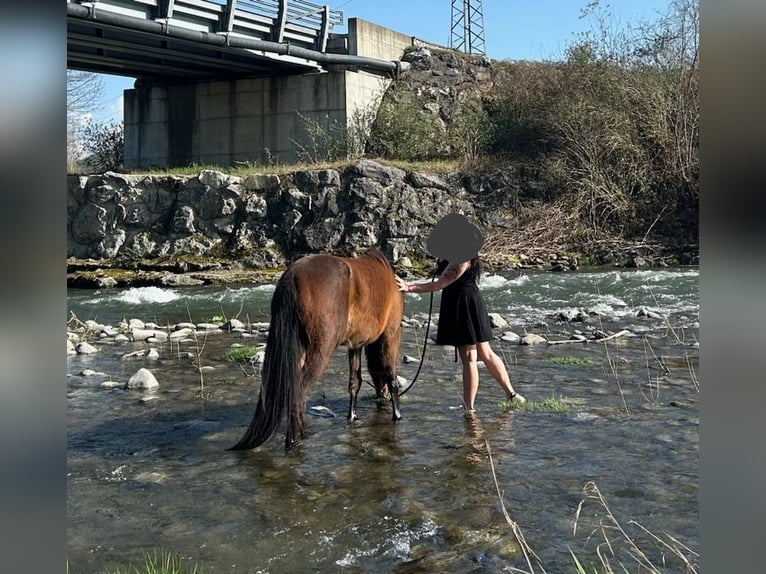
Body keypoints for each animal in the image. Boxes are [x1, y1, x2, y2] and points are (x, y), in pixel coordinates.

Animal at [230, 250, 404, 452]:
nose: (381, 395)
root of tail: (292, 276)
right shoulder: (391, 334)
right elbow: (392, 377)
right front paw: (397, 415)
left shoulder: (355, 345)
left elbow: (355, 383)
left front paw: (352, 416)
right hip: (321, 350)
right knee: (298, 390)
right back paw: (294, 440)